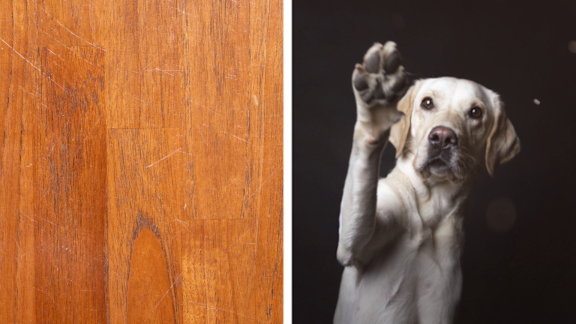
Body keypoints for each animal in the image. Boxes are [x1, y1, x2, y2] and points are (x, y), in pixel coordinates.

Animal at [336, 41, 520, 322]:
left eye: (475, 112)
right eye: (427, 103)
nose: (443, 137)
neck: (431, 207)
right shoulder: (356, 246)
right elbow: (363, 182)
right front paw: (376, 103)